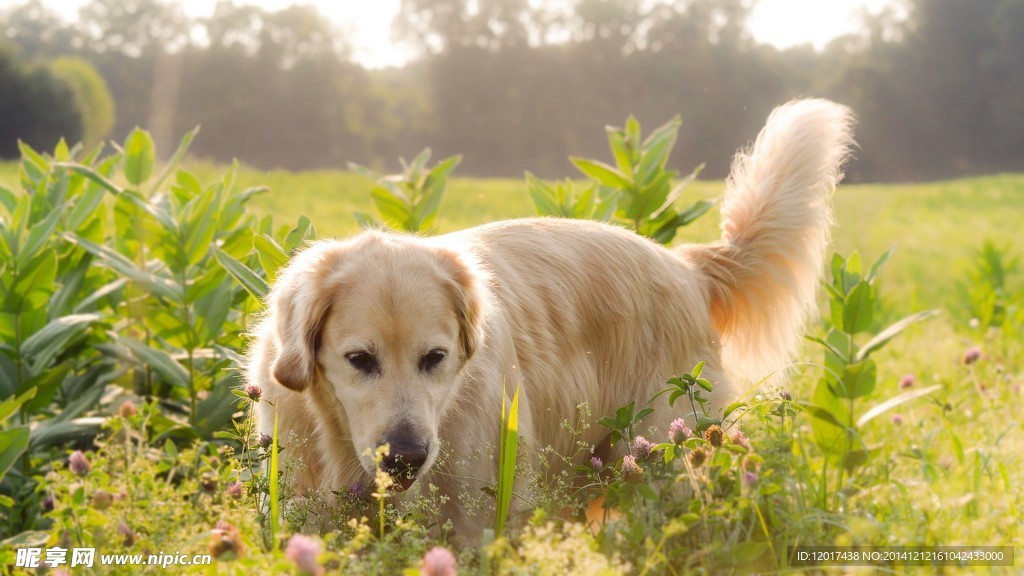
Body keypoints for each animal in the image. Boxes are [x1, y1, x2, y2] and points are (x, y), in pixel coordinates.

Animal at [247, 97, 856, 537]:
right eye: (359, 359)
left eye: (435, 358)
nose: (406, 459)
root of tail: (685, 264)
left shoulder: (478, 520)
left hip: (661, 460)